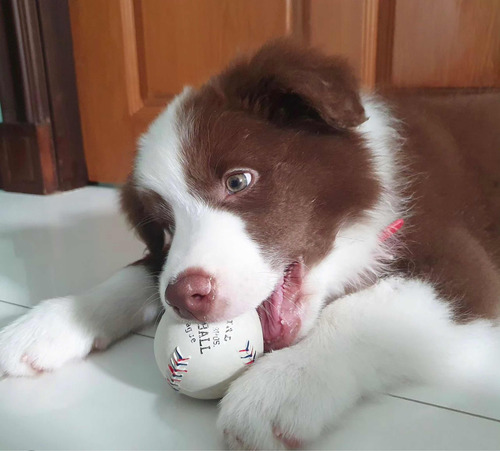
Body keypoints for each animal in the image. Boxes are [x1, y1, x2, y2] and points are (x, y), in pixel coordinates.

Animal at [0, 40, 500, 450]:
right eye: (165, 226)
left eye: (238, 181)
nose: (186, 298)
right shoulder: (165, 261)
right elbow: (142, 270)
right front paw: (50, 322)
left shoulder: (461, 262)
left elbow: (361, 310)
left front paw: (283, 383)